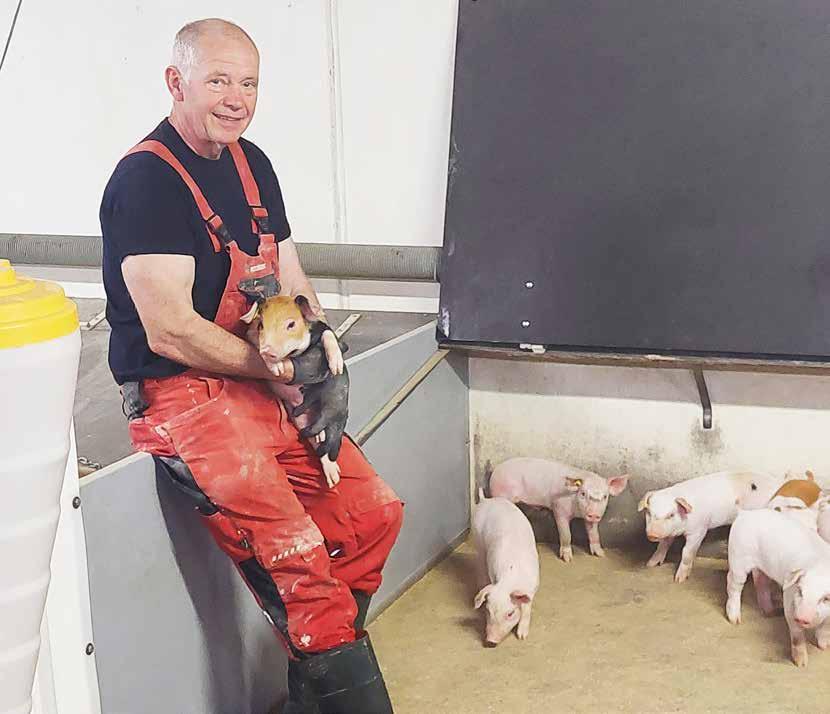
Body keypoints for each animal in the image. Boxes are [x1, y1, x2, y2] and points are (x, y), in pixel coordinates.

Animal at [241, 294, 345, 488]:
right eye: (261, 325)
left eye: (291, 324)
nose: (268, 350)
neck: (295, 354)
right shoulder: (250, 336)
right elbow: (256, 346)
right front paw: (277, 369)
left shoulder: (319, 328)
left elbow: (328, 334)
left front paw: (336, 368)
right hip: (300, 419)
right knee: (317, 445)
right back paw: (333, 477)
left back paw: (334, 477)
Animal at [472, 488, 539, 645]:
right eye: (488, 611)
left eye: (510, 613)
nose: (490, 642)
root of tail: (485, 500)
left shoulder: (532, 588)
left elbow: (527, 608)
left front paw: (522, 636)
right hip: (477, 539)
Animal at [489, 457, 629, 562]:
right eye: (583, 493)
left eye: (605, 496)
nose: (593, 514)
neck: (577, 512)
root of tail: (495, 469)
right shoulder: (559, 508)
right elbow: (566, 534)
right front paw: (567, 559)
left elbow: (594, 533)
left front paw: (600, 554)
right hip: (501, 493)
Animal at [638, 470, 782, 583]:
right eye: (649, 512)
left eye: (671, 514)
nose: (652, 534)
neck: (680, 528)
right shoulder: (669, 532)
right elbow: (663, 545)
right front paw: (650, 564)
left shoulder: (699, 530)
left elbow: (687, 552)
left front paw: (679, 580)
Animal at [726, 508, 830, 667]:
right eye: (800, 591)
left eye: (826, 598)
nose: (802, 617)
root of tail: (744, 513)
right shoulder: (789, 599)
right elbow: (797, 636)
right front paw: (801, 664)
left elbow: (825, 628)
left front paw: (825, 648)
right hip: (738, 558)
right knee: (733, 584)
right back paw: (735, 620)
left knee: (760, 582)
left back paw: (771, 612)